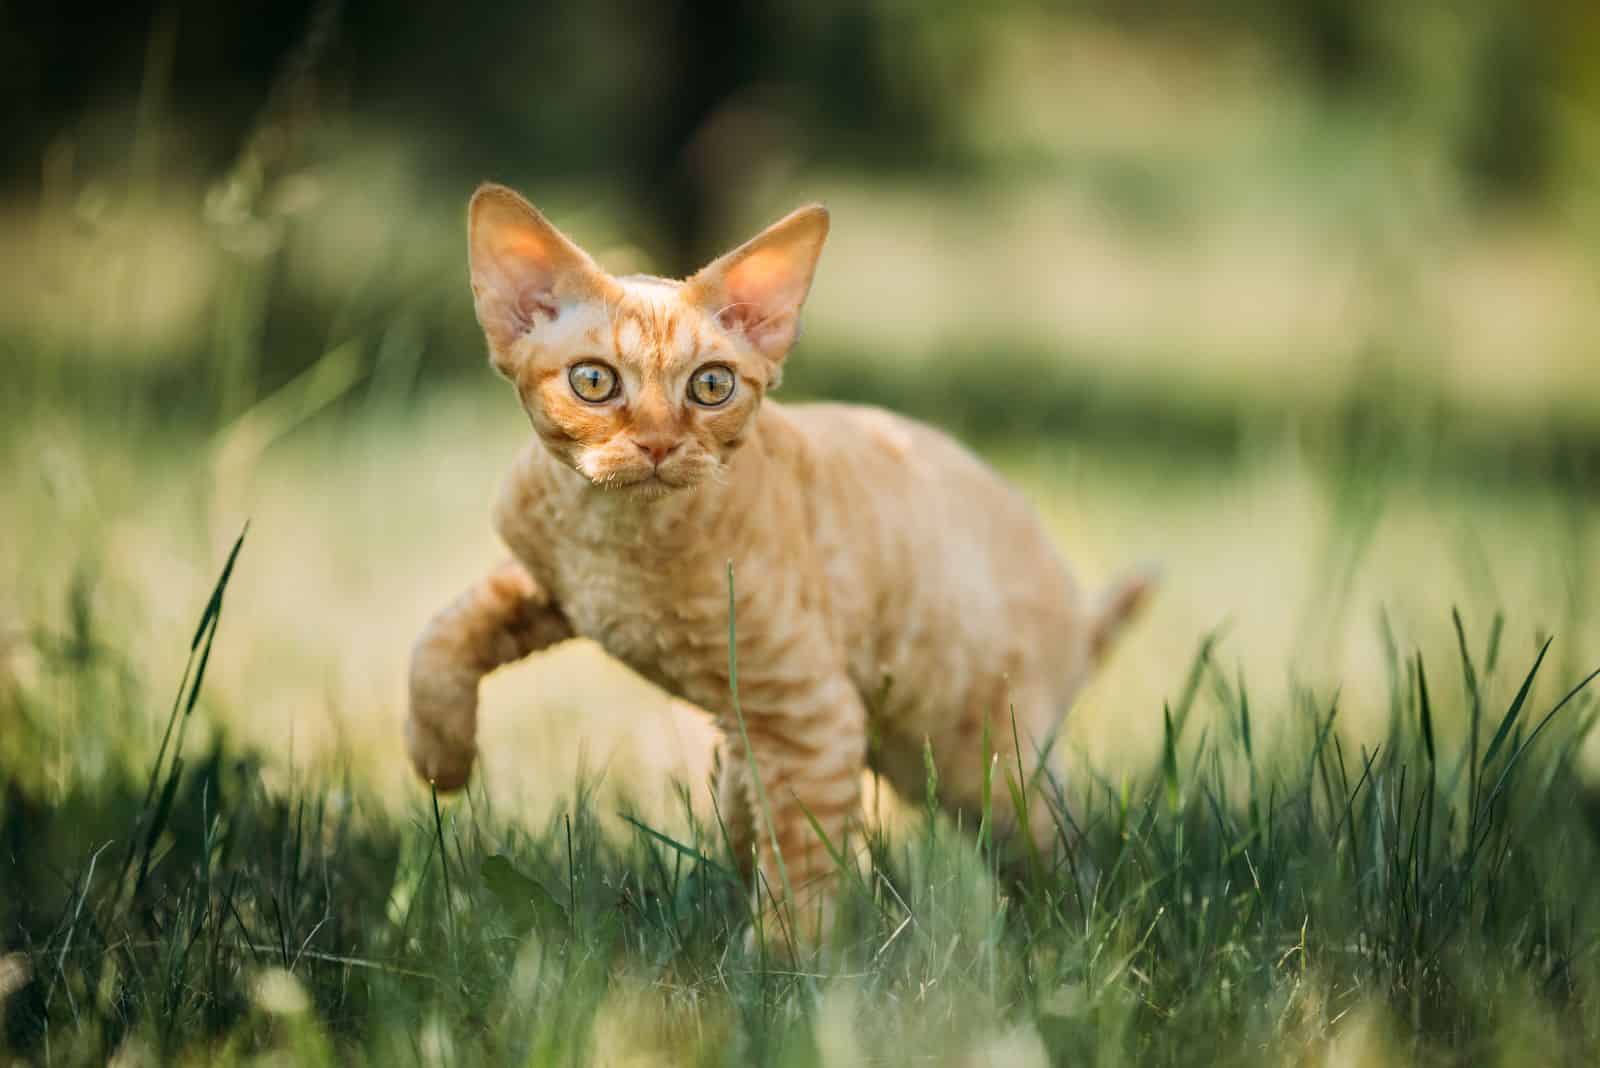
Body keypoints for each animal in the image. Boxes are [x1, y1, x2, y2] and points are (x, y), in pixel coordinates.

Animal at [400, 183, 1152, 940]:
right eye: (594, 382)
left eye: (711, 387)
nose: (657, 445)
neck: (614, 540)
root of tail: (1073, 608)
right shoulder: (546, 582)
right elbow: (442, 634)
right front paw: (440, 759)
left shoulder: (812, 716)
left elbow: (800, 878)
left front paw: (788, 965)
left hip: (978, 756)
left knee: (1056, 845)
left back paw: (1069, 926)